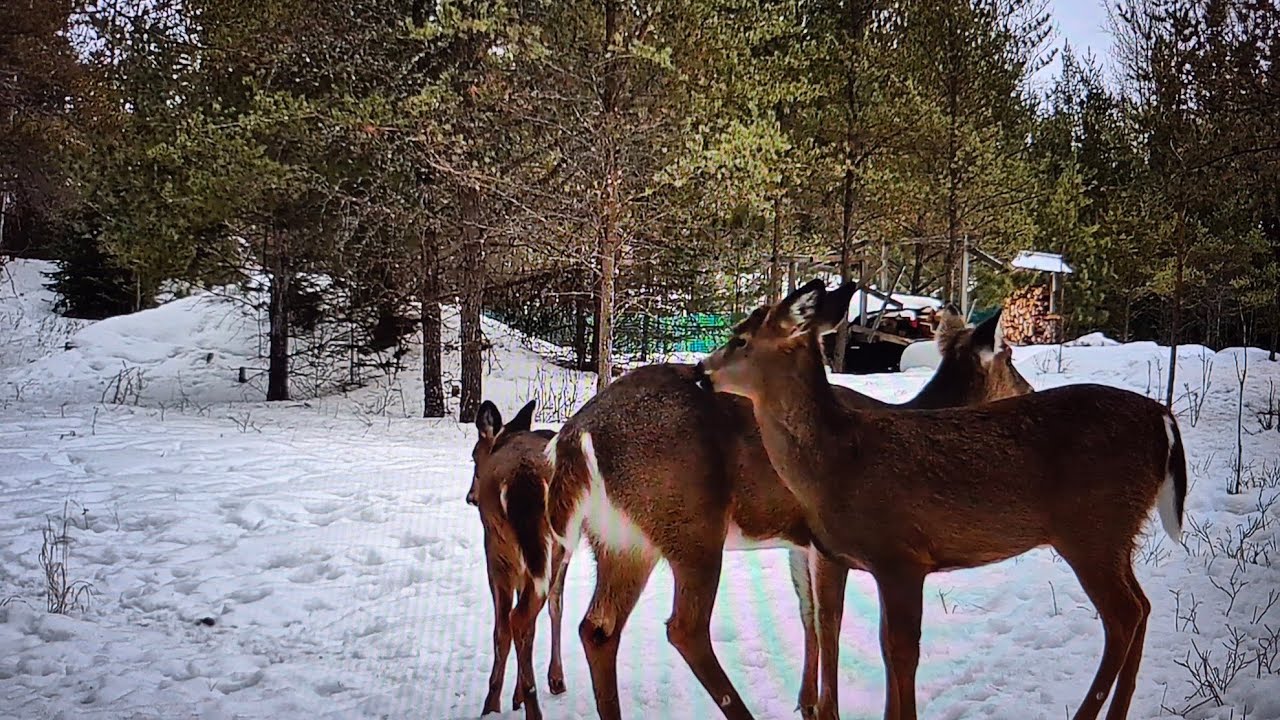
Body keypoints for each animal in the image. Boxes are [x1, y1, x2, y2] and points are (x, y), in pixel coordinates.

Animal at [467, 399, 569, 720]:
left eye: (473, 456)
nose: (469, 497)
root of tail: (522, 479)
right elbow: (555, 607)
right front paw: (554, 680)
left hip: (497, 550)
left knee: (504, 625)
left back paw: (491, 705)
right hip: (546, 549)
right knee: (521, 618)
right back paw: (531, 705)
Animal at [499, 297, 1032, 720]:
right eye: (1008, 354)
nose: (1027, 391)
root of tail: (574, 434)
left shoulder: (799, 542)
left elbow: (807, 614)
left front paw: (807, 702)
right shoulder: (827, 542)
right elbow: (830, 620)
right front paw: (825, 709)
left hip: (620, 538)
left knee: (594, 627)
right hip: (690, 525)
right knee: (683, 628)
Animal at [696, 279, 1189, 720]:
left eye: (740, 339)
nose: (701, 372)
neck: (840, 463)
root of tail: (1163, 418)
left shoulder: (901, 555)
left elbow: (900, 651)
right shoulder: (857, 559)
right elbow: (879, 643)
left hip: (1094, 527)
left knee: (1124, 615)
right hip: (1114, 531)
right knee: (1142, 606)